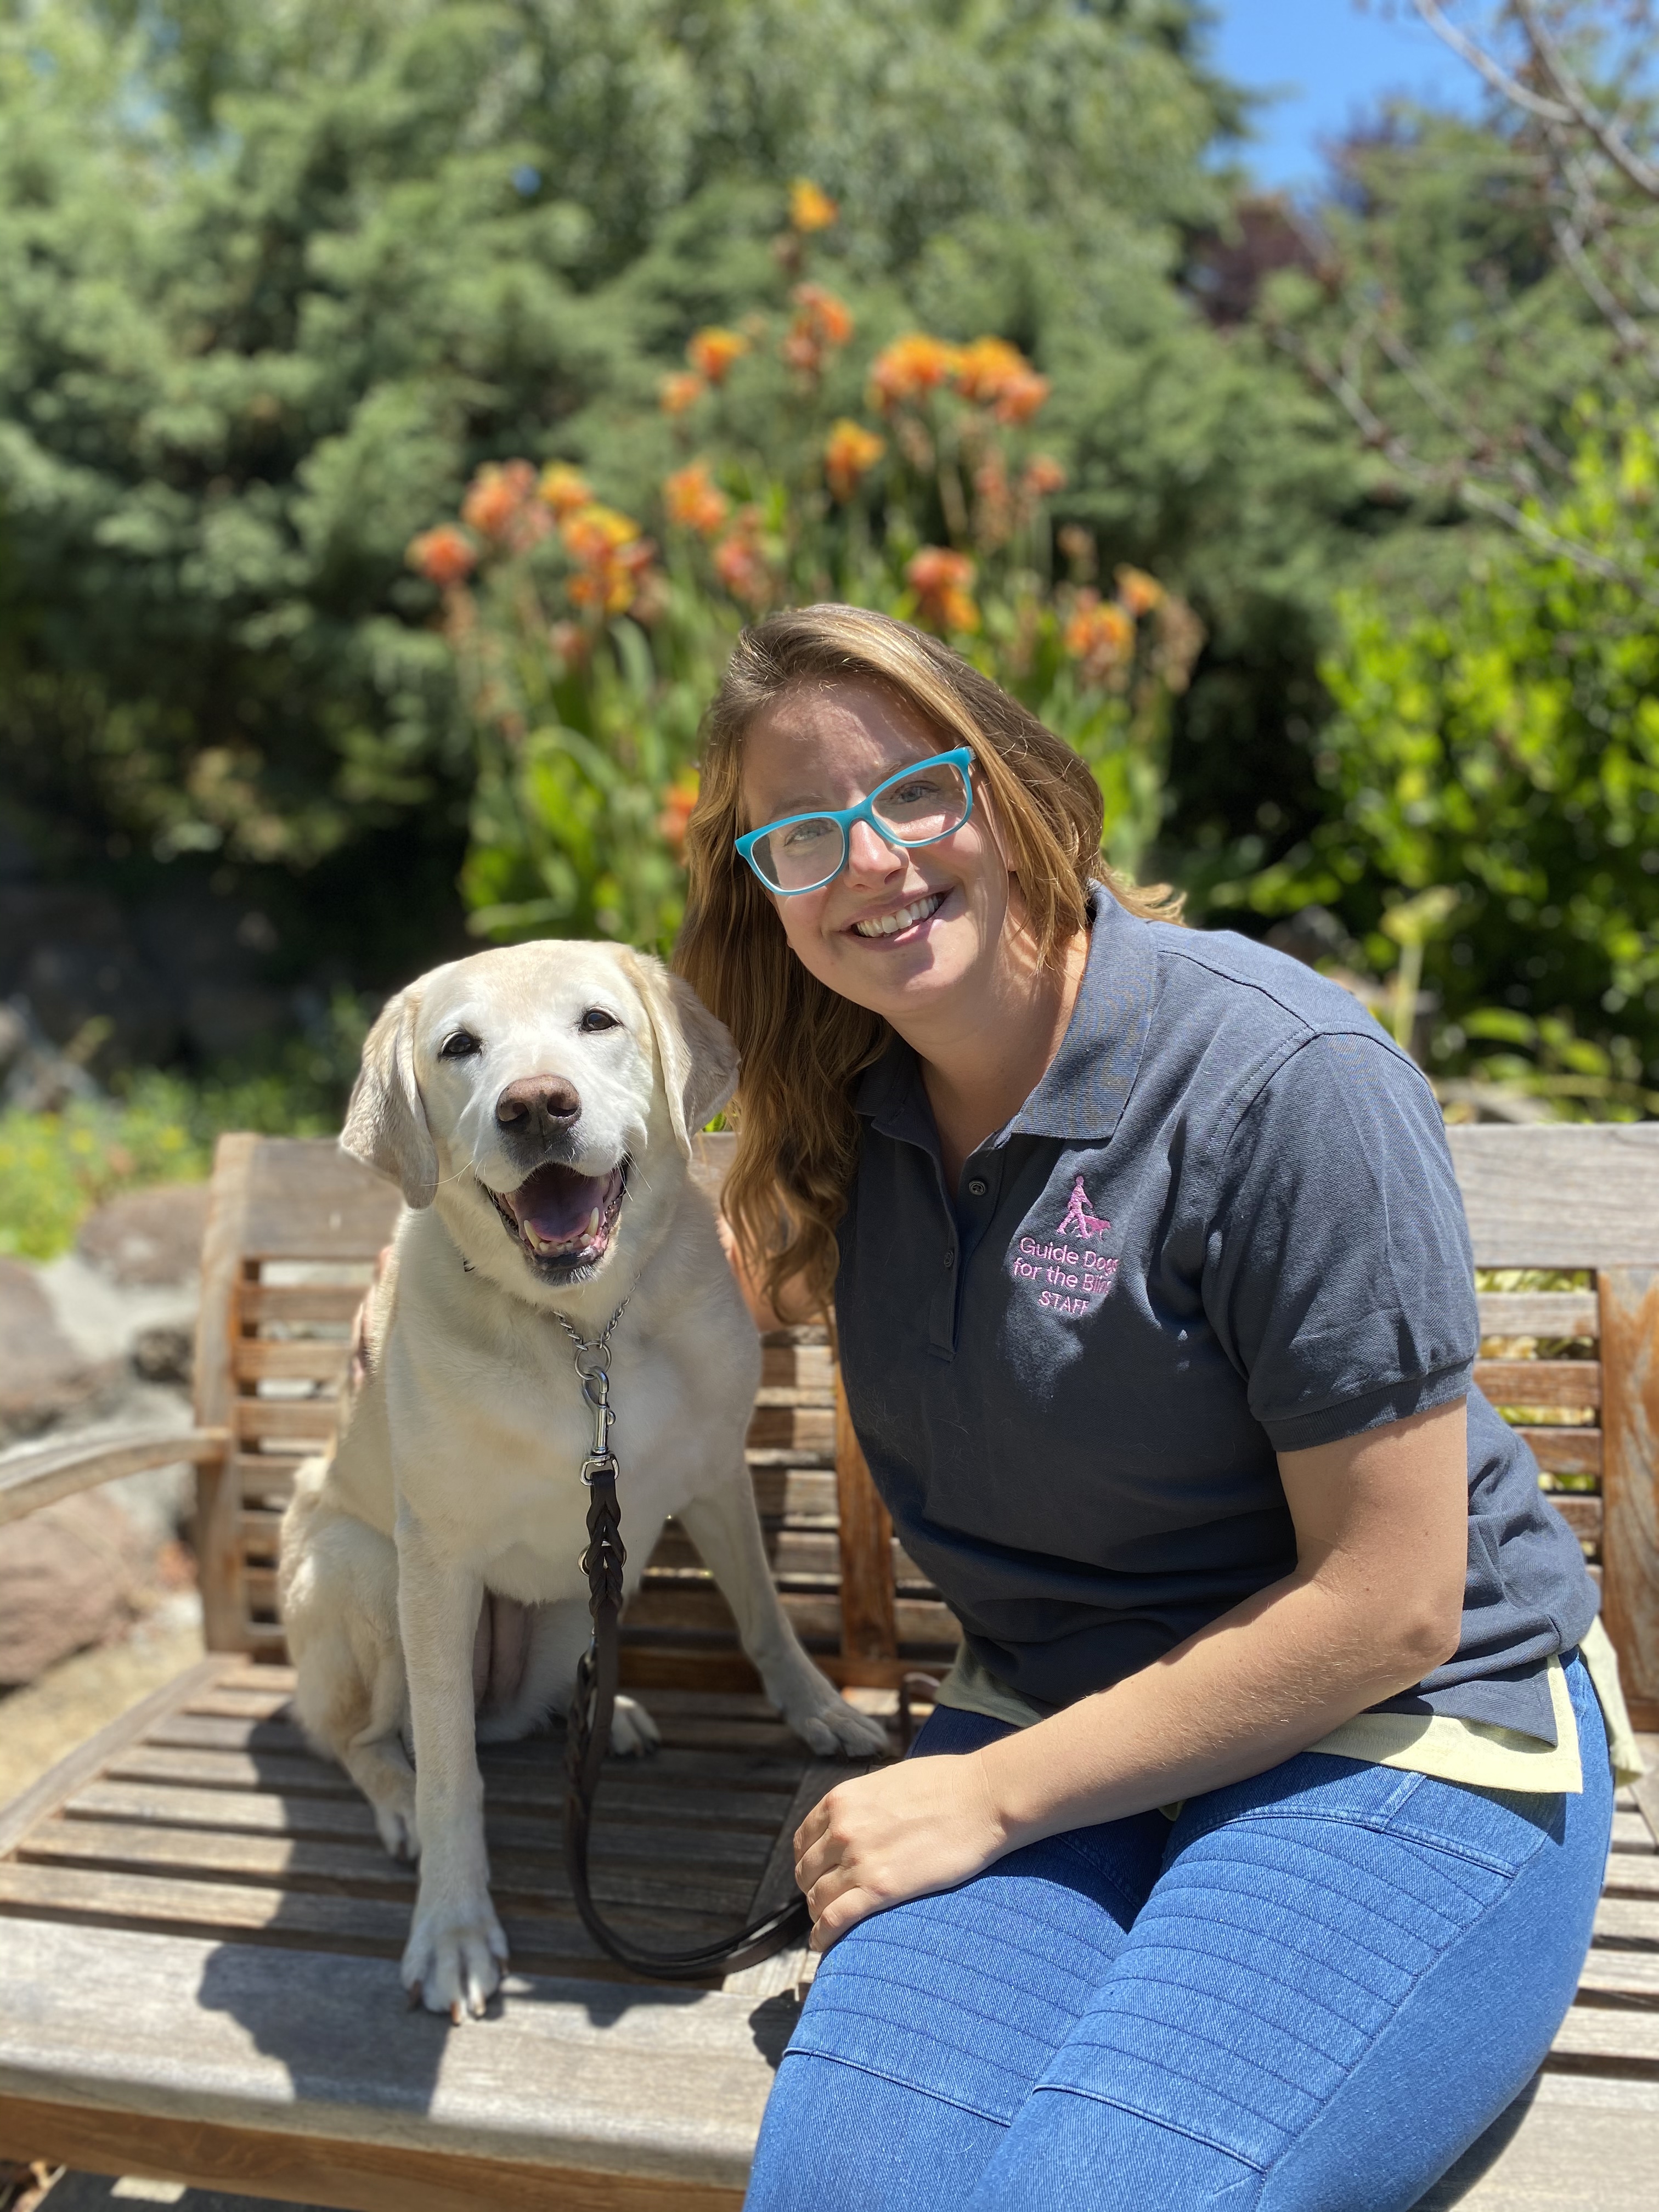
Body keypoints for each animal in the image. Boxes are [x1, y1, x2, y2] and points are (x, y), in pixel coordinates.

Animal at [280, 942, 889, 2017]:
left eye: (597, 1021)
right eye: (460, 1046)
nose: (535, 1107)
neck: (585, 1332)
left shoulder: (714, 1472)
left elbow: (763, 1614)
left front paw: (818, 1709)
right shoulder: (435, 1569)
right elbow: (451, 1774)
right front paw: (452, 1926)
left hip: (579, 1600)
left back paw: (608, 1710)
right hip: (362, 1572)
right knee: (369, 1739)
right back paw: (399, 1798)